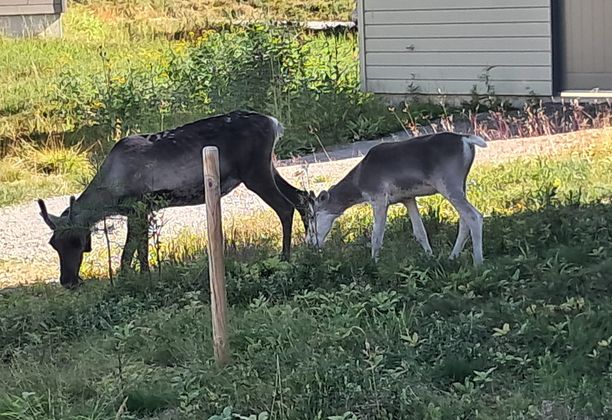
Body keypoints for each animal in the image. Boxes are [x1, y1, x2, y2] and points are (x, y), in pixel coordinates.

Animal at [306, 131, 488, 264]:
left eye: (313, 216)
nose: (309, 241)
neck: (359, 182)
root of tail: (466, 140)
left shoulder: (379, 199)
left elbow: (376, 236)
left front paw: (374, 264)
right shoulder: (407, 198)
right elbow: (420, 232)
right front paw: (429, 256)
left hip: (448, 185)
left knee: (474, 216)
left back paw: (478, 263)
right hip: (460, 186)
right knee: (464, 220)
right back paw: (452, 257)